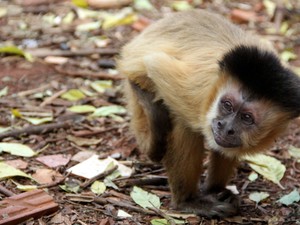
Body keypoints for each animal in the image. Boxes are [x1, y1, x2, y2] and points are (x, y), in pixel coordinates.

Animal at [118, 9, 300, 218]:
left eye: (246, 118)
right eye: (227, 105)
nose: (226, 127)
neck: (215, 87)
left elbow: (224, 148)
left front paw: (216, 190)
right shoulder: (194, 92)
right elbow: (154, 63)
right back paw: (187, 201)